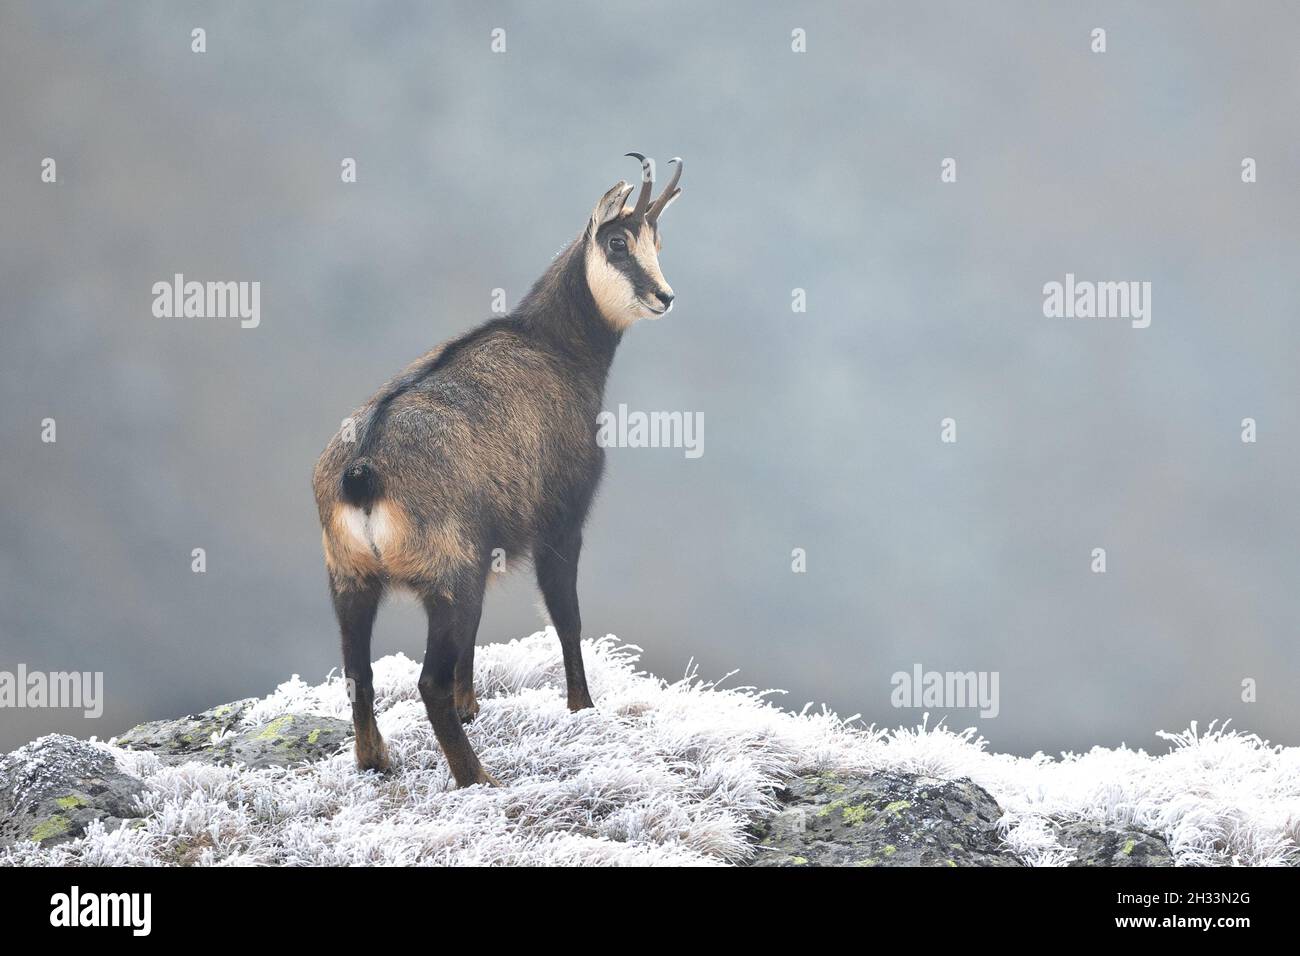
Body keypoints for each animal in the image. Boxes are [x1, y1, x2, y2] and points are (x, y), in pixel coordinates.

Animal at [312, 154, 683, 786]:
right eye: (617, 243)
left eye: (656, 240)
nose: (664, 296)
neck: (557, 349)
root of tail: (363, 471)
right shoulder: (560, 519)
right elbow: (566, 616)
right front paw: (583, 708)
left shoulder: (489, 552)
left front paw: (473, 704)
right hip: (448, 575)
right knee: (426, 682)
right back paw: (475, 777)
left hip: (350, 577)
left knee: (358, 672)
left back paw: (375, 760)